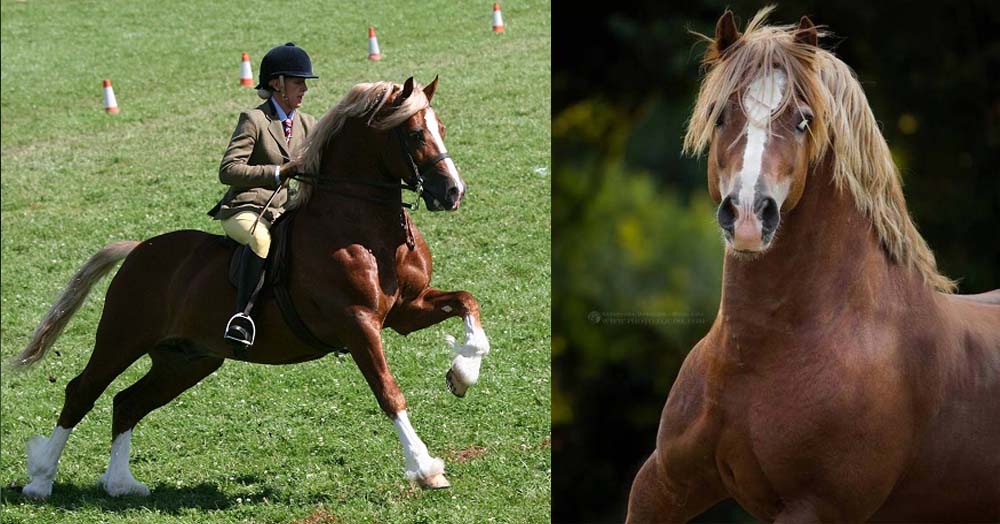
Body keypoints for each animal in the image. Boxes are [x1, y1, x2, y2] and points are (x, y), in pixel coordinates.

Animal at [10, 78, 488, 500]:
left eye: (442, 128)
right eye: (415, 133)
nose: (453, 192)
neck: (366, 229)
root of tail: (139, 250)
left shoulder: (406, 310)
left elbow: (468, 302)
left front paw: (462, 375)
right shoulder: (359, 325)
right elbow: (389, 393)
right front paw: (426, 469)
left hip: (187, 360)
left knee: (127, 403)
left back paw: (120, 484)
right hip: (121, 339)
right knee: (82, 391)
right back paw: (41, 481)